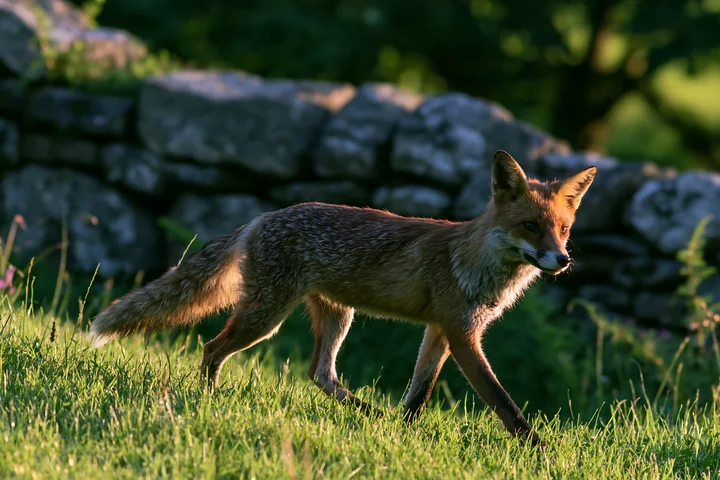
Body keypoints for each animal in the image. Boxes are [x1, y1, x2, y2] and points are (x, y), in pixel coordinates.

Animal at [89, 150, 596, 447]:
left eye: (563, 229)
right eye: (530, 226)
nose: (563, 259)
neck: (479, 262)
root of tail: (264, 215)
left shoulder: (439, 331)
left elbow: (418, 394)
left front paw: (401, 434)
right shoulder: (462, 334)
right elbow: (502, 400)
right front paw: (539, 449)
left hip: (337, 316)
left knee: (320, 373)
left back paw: (371, 415)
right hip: (266, 317)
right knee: (213, 348)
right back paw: (206, 399)